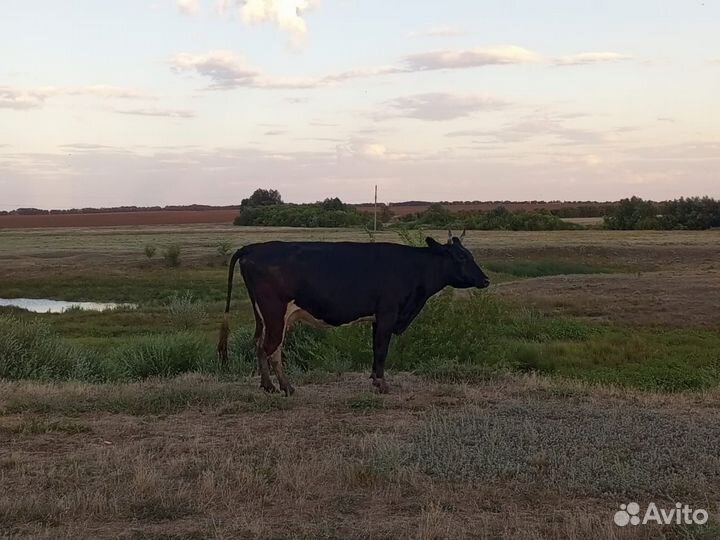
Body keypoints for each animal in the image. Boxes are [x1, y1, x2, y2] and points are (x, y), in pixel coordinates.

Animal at [217, 230, 490, 395]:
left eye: (469, 254)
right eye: (461, 257)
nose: (485, 280)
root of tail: (254, 248)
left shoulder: (378, 318)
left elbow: (375, 349)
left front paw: (374, 379)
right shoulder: (388, 313)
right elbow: (381, 349)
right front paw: (382, 385)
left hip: (263, 316)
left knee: (258, 344)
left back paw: (268, 386)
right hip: (275, 313)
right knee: (271, 348)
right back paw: (287, 387)